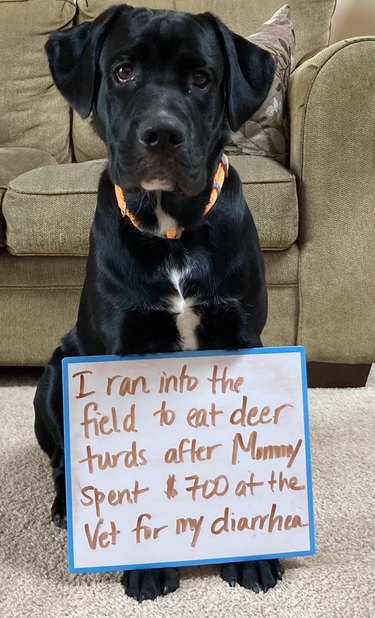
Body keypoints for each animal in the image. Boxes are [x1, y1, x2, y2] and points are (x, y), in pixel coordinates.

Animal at [34, 3, 284, 600]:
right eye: (123, 72)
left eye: (202, 78)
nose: (162, 133)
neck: (172, 231)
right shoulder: (128, 353)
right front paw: (148, 564)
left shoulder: (238, 339)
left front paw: (251, 552)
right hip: (55, 372)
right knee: (62, 462)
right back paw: (66, 508)